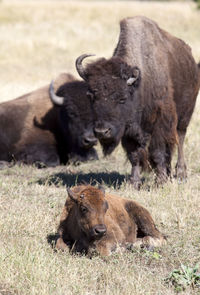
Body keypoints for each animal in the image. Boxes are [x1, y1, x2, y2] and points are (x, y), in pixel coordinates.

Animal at [75, 16, 200, 188]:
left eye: (122, 98)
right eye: (91, 96)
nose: (102, 132)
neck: (139, 84)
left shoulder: (160, 122)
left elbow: (157, 152)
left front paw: (160, 182)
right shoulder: (130, 130)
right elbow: (135, 155)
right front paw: (134, 183)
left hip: (184, 116)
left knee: (180, 139)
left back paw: (180, 174)